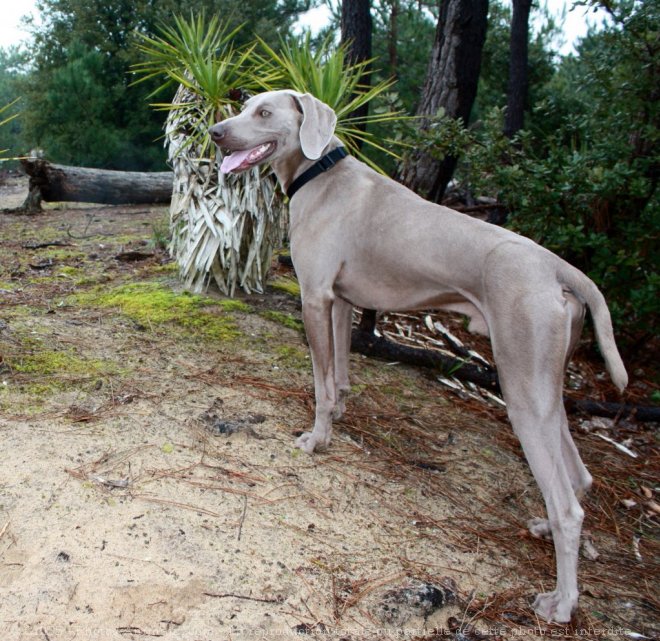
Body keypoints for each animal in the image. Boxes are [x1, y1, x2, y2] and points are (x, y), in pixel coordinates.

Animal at [209, 90, 628, 620]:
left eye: (263, 112)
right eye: (245, 105)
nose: (215, 132)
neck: (317, 171)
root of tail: (558, 266)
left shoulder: (314, 297)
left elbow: (321, 383)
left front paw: (317, 438)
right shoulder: (341, 301)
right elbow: (340, 376)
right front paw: (340, 415)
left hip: (523, 389)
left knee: (568, 506)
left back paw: (560, 602)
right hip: (547, 389)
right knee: (580, 476)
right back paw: (543, 529)